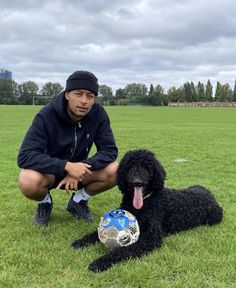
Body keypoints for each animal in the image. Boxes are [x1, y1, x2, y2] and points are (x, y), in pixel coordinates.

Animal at [71, 150, 222, 272]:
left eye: (147, 167)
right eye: (130, 166)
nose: (137, 182)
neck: (144, 202)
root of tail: (208, 192)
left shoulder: (151, 236)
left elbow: (125, 249)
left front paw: (101, 261)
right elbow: (95, 233)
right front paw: (80, 242)